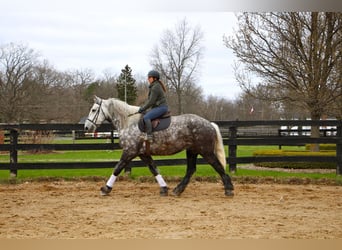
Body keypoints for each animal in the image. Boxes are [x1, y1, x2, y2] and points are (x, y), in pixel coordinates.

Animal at [84, 96, 234, 196]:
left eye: (94, 110)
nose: (86, 127)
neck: (129, 123)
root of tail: (209, 124)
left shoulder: (129, 152)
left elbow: (117, 168)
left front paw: (106, 188)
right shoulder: (142, 153)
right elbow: (154, 169)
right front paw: (164, 188)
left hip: (205, 151)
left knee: (217, 166)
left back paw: (229, 189)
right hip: (192, 151)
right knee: (191, 170)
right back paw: (177, 190)